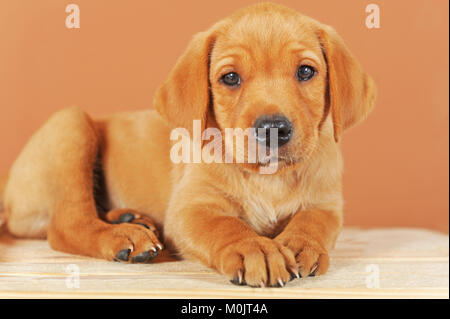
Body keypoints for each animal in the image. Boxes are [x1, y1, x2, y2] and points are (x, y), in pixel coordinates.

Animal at [0, 2, 374, 288]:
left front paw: (299, 244)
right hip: (71, 122)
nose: (272, 129)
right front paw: (256, 248)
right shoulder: (190, 207)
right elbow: (226, 225)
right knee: (66, 224)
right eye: (230, 78)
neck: (269, 177)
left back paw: (130, 218)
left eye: (306, 72)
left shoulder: (327, 202)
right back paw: (125, 237)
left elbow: (314, 220)